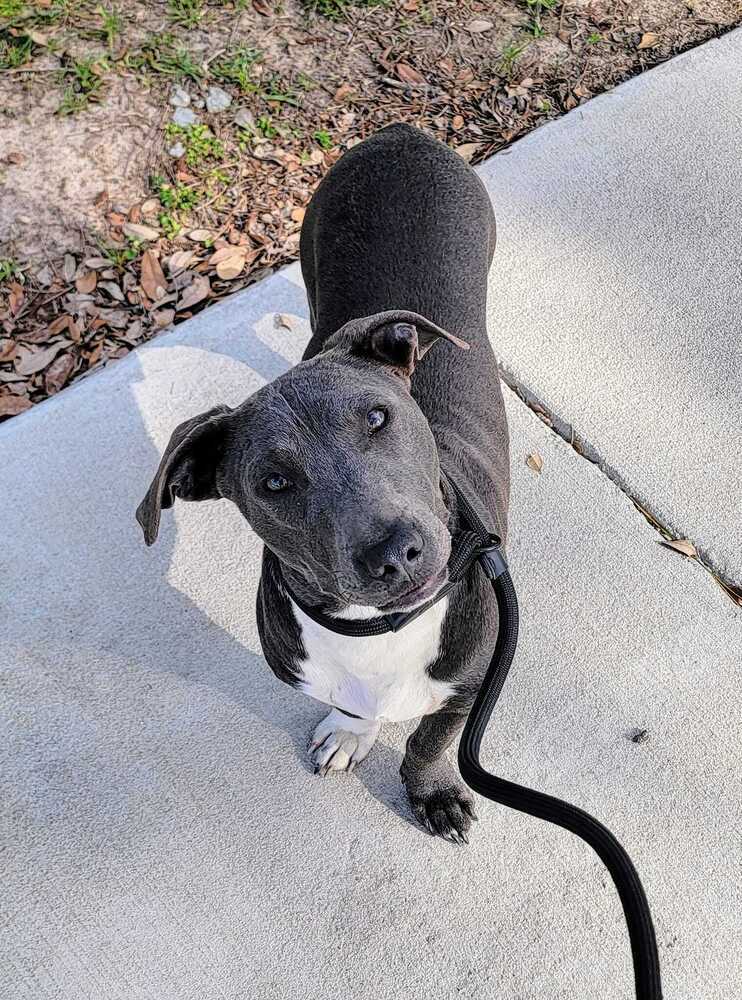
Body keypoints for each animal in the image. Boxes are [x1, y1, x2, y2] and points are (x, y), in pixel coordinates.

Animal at [137, 125, 512, 844]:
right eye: (273, 482)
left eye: (378, 417)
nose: (395, 553)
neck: (379, 630)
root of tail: (400, 133)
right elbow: (356, 708)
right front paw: (351, 732)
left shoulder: (472, 680)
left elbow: (430, 738)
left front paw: (433, 792)